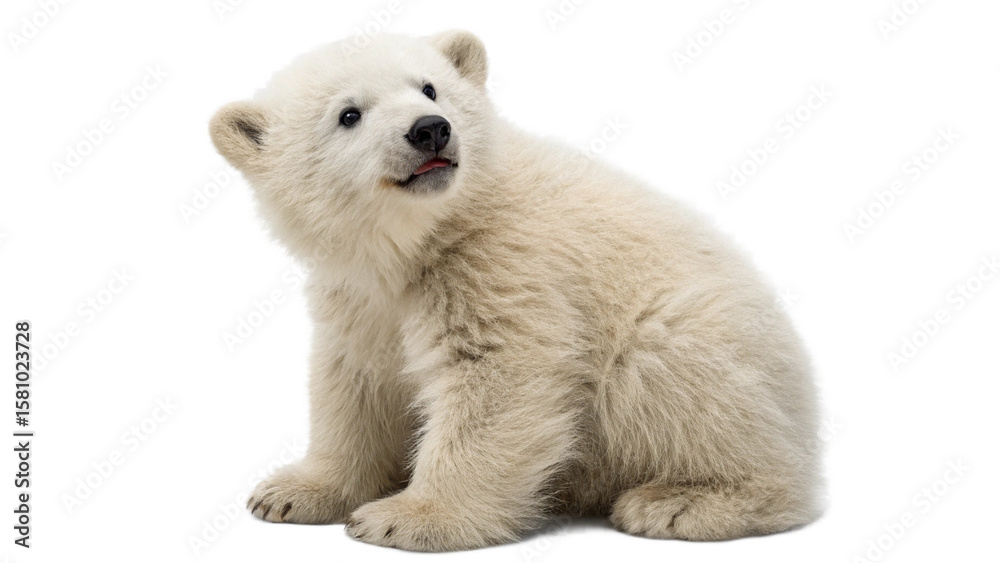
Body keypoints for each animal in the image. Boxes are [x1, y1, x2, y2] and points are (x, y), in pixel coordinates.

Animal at [209, 30, 824, 551]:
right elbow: (353, 384)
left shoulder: (501, 264)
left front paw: (406, 517)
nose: (430, 129)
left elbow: (497, 378)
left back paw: (679, 502)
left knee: (661, 368)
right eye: (348, 114)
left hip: (704, 345)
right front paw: (290, 493)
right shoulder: (357, 296)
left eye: (429, 86)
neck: (422, 241)